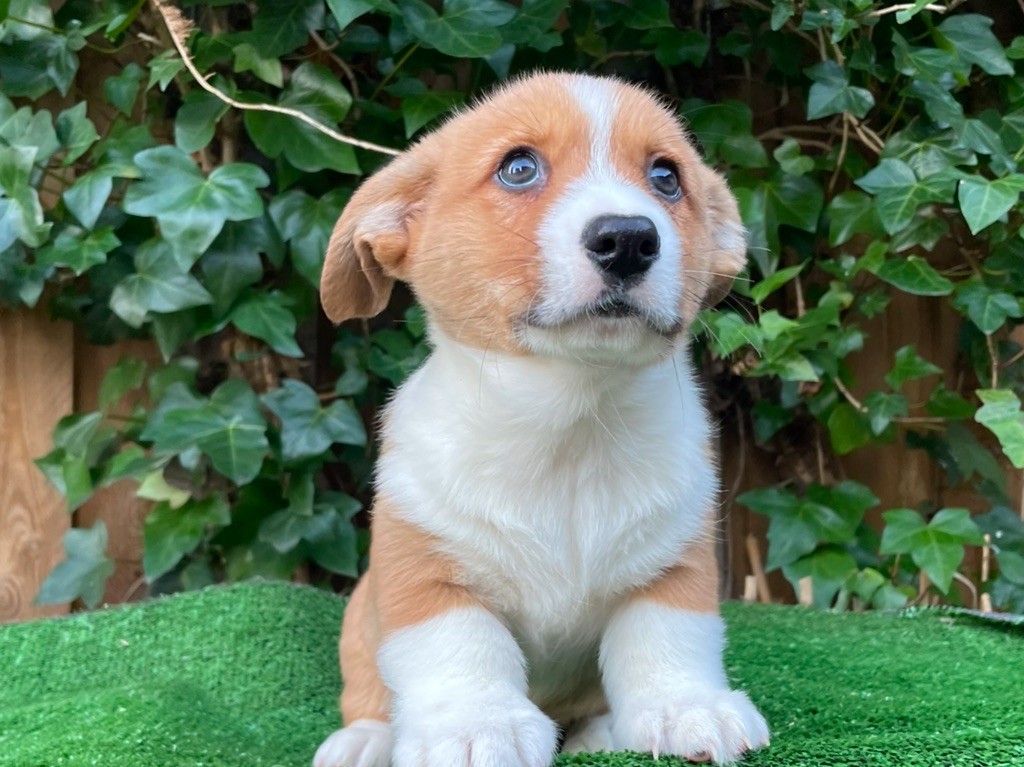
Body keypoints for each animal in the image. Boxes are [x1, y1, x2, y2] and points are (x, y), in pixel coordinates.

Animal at [313, 72, 769, 767]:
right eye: (519, 168)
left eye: (666, 177)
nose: (629, 239)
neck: (570, 422)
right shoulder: (425, 572)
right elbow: (460, 648)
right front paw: (477, 725)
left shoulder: (674, 564)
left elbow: (666, 638)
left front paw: (686, 706)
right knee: (368, 690)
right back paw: (365, 740)